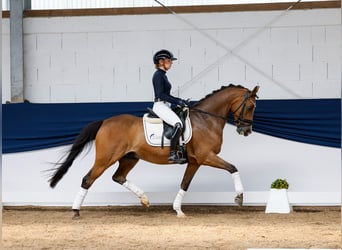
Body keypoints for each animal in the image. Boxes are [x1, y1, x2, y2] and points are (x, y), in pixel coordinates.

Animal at [48, 84, 260, 219]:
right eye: (250, 106)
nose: (246, 131)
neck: (206, 120)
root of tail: (104, 122)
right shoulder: (206, 156)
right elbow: (233, 168)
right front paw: (239, 198)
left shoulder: (195, 161)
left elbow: (185, 183)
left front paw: (178, 210)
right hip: (105, 159)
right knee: (88, 179)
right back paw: (76, 212)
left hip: (129, 158)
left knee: (118, 177)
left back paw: (144, 199)